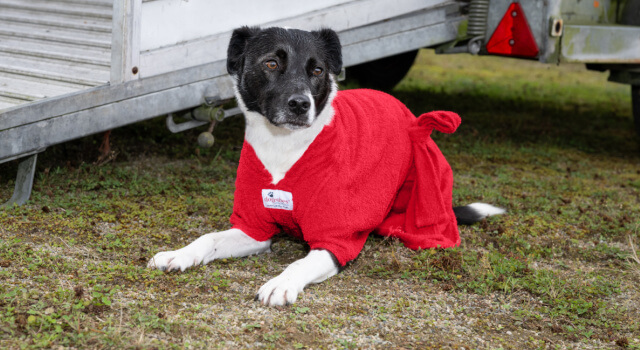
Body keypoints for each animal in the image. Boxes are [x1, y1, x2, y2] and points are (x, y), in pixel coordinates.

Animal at [146, 27, 504, 306]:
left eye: (318, 70)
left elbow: (300, 263)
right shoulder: (253, 229)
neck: (284, 146)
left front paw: (281, 283)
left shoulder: (335, 241)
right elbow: (208, 238)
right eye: (271, 63)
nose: (300, 104)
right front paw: (179, 254)